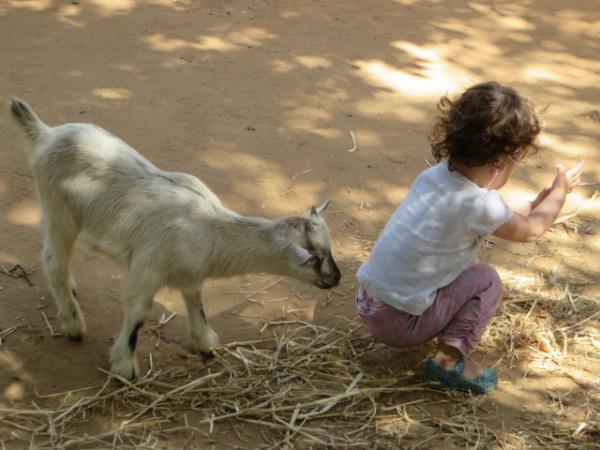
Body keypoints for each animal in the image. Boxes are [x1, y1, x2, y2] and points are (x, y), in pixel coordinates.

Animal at [9, 99, 340, 380]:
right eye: (313, 256)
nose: (337, 278)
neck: (207, 226)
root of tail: (46, 133)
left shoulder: (191, 273)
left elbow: (196, 303)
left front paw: (206, 344)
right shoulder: (147, 268)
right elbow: (138, 313)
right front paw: (124, 366)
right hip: (58, 211)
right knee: (53, 260)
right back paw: (73, 324)